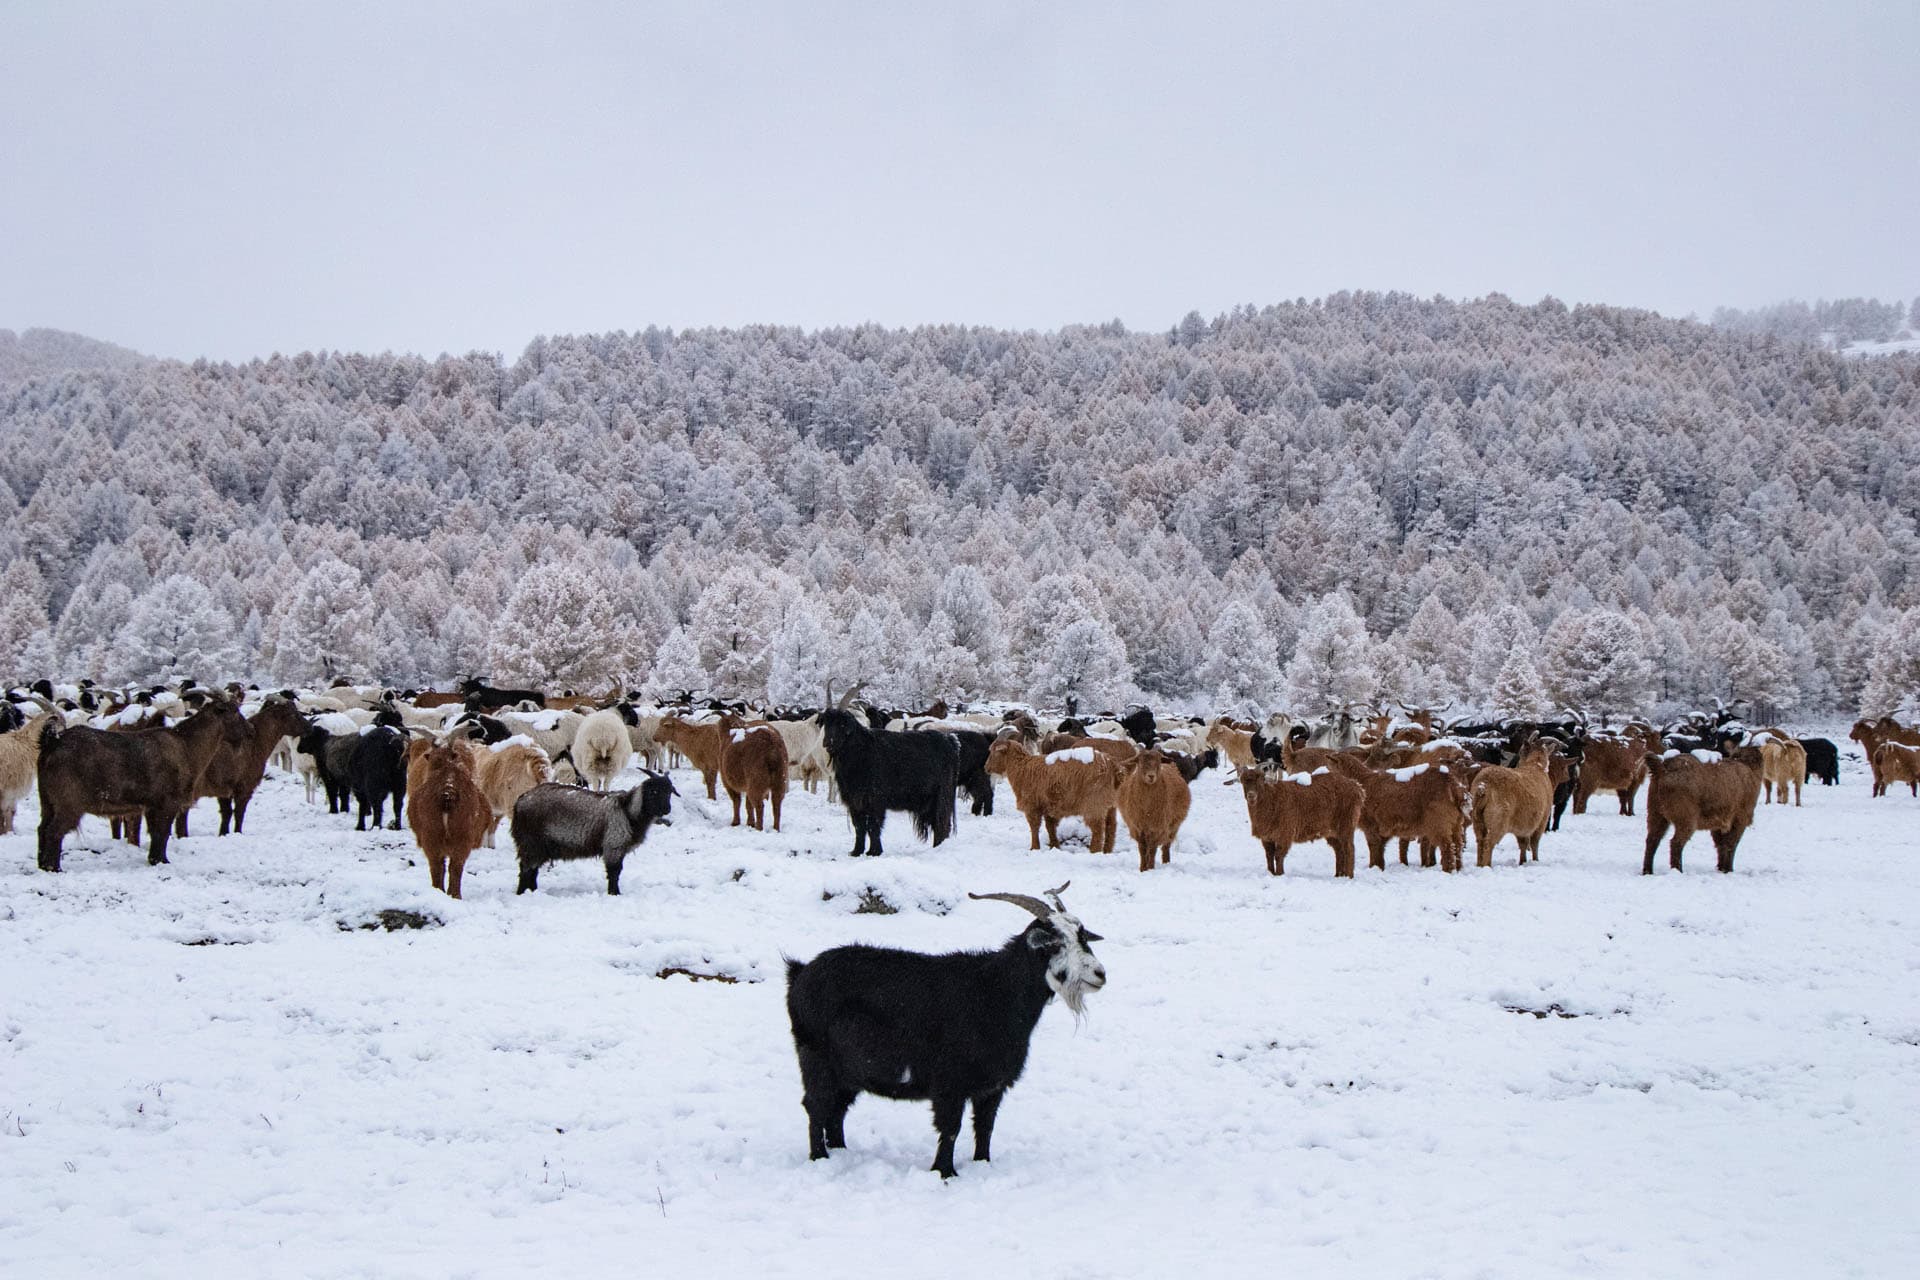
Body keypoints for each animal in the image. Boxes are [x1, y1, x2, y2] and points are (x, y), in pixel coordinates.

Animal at [404, 730, 493, 898]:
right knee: (451, 866)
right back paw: (453, 895)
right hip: (459, 837)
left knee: (440, 866)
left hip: (434, 835)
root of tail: (448, 790)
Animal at [510, 775, 676, 895]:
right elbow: (614, 873)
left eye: (669, 792)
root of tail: (519, 801)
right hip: (531, 842)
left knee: (532, 870)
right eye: (654, 791)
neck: (628, 810)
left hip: (536, 846)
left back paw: (532, 891)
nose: (667, 809)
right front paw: (614, 893)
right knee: (526, 869)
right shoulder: (613, 844)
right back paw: (523, 892)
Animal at [786, 883, 1105, 1178]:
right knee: (816, 1105)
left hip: (849, 1072)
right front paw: (945, 1173)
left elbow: (985, 1127)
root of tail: (799, 973)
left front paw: (982, 1164)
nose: (1099, 974)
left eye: (1082, 937)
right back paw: (820, 1157)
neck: (994, 992)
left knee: (836, 1109)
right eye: (1054, 943)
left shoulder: (992, 1087)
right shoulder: (950, 1084)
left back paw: (840, 1150)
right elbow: (951, 1128)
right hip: (815, 1058)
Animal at [985, 737, 1124, 854]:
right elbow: (1050, 827)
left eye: (995, 752)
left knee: (1098, 829)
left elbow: (1034, 827)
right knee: (1111, 826)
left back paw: (1094, 851)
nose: (986, 768)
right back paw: (1107, 851)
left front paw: (1034, 848)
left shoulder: (1032, 805)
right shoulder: (1049, 806)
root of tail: (1112, 765)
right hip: (1109, 804)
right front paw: (1054, 846)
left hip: (1094, 803)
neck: (1021, 768)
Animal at [1232, 763, 1364, 878]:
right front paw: (1271, 873)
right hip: (1331, 832)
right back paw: (1338, 875)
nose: (1251, 795)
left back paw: (1349, 876)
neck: (1272, 798)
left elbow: (1279, 855)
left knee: (1349, 849)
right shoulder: (1267, 837)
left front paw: (1279, 874)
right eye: (1243, 781)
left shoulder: (1285, 833)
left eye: (1260, 779)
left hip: (1346, 825)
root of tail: (1357, 788)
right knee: (1339, 850)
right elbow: (1269, 856)